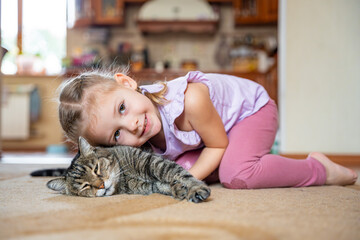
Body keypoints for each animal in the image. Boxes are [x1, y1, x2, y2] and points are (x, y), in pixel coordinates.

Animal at [47, 137, 211, 202]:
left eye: (96, 169)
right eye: (84, 186)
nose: (101, 185)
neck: (124, 176)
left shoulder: (152, 162)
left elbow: (178, 173)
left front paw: (196, 188)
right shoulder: (145, 186)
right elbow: (160, 185)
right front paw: (176, 189)